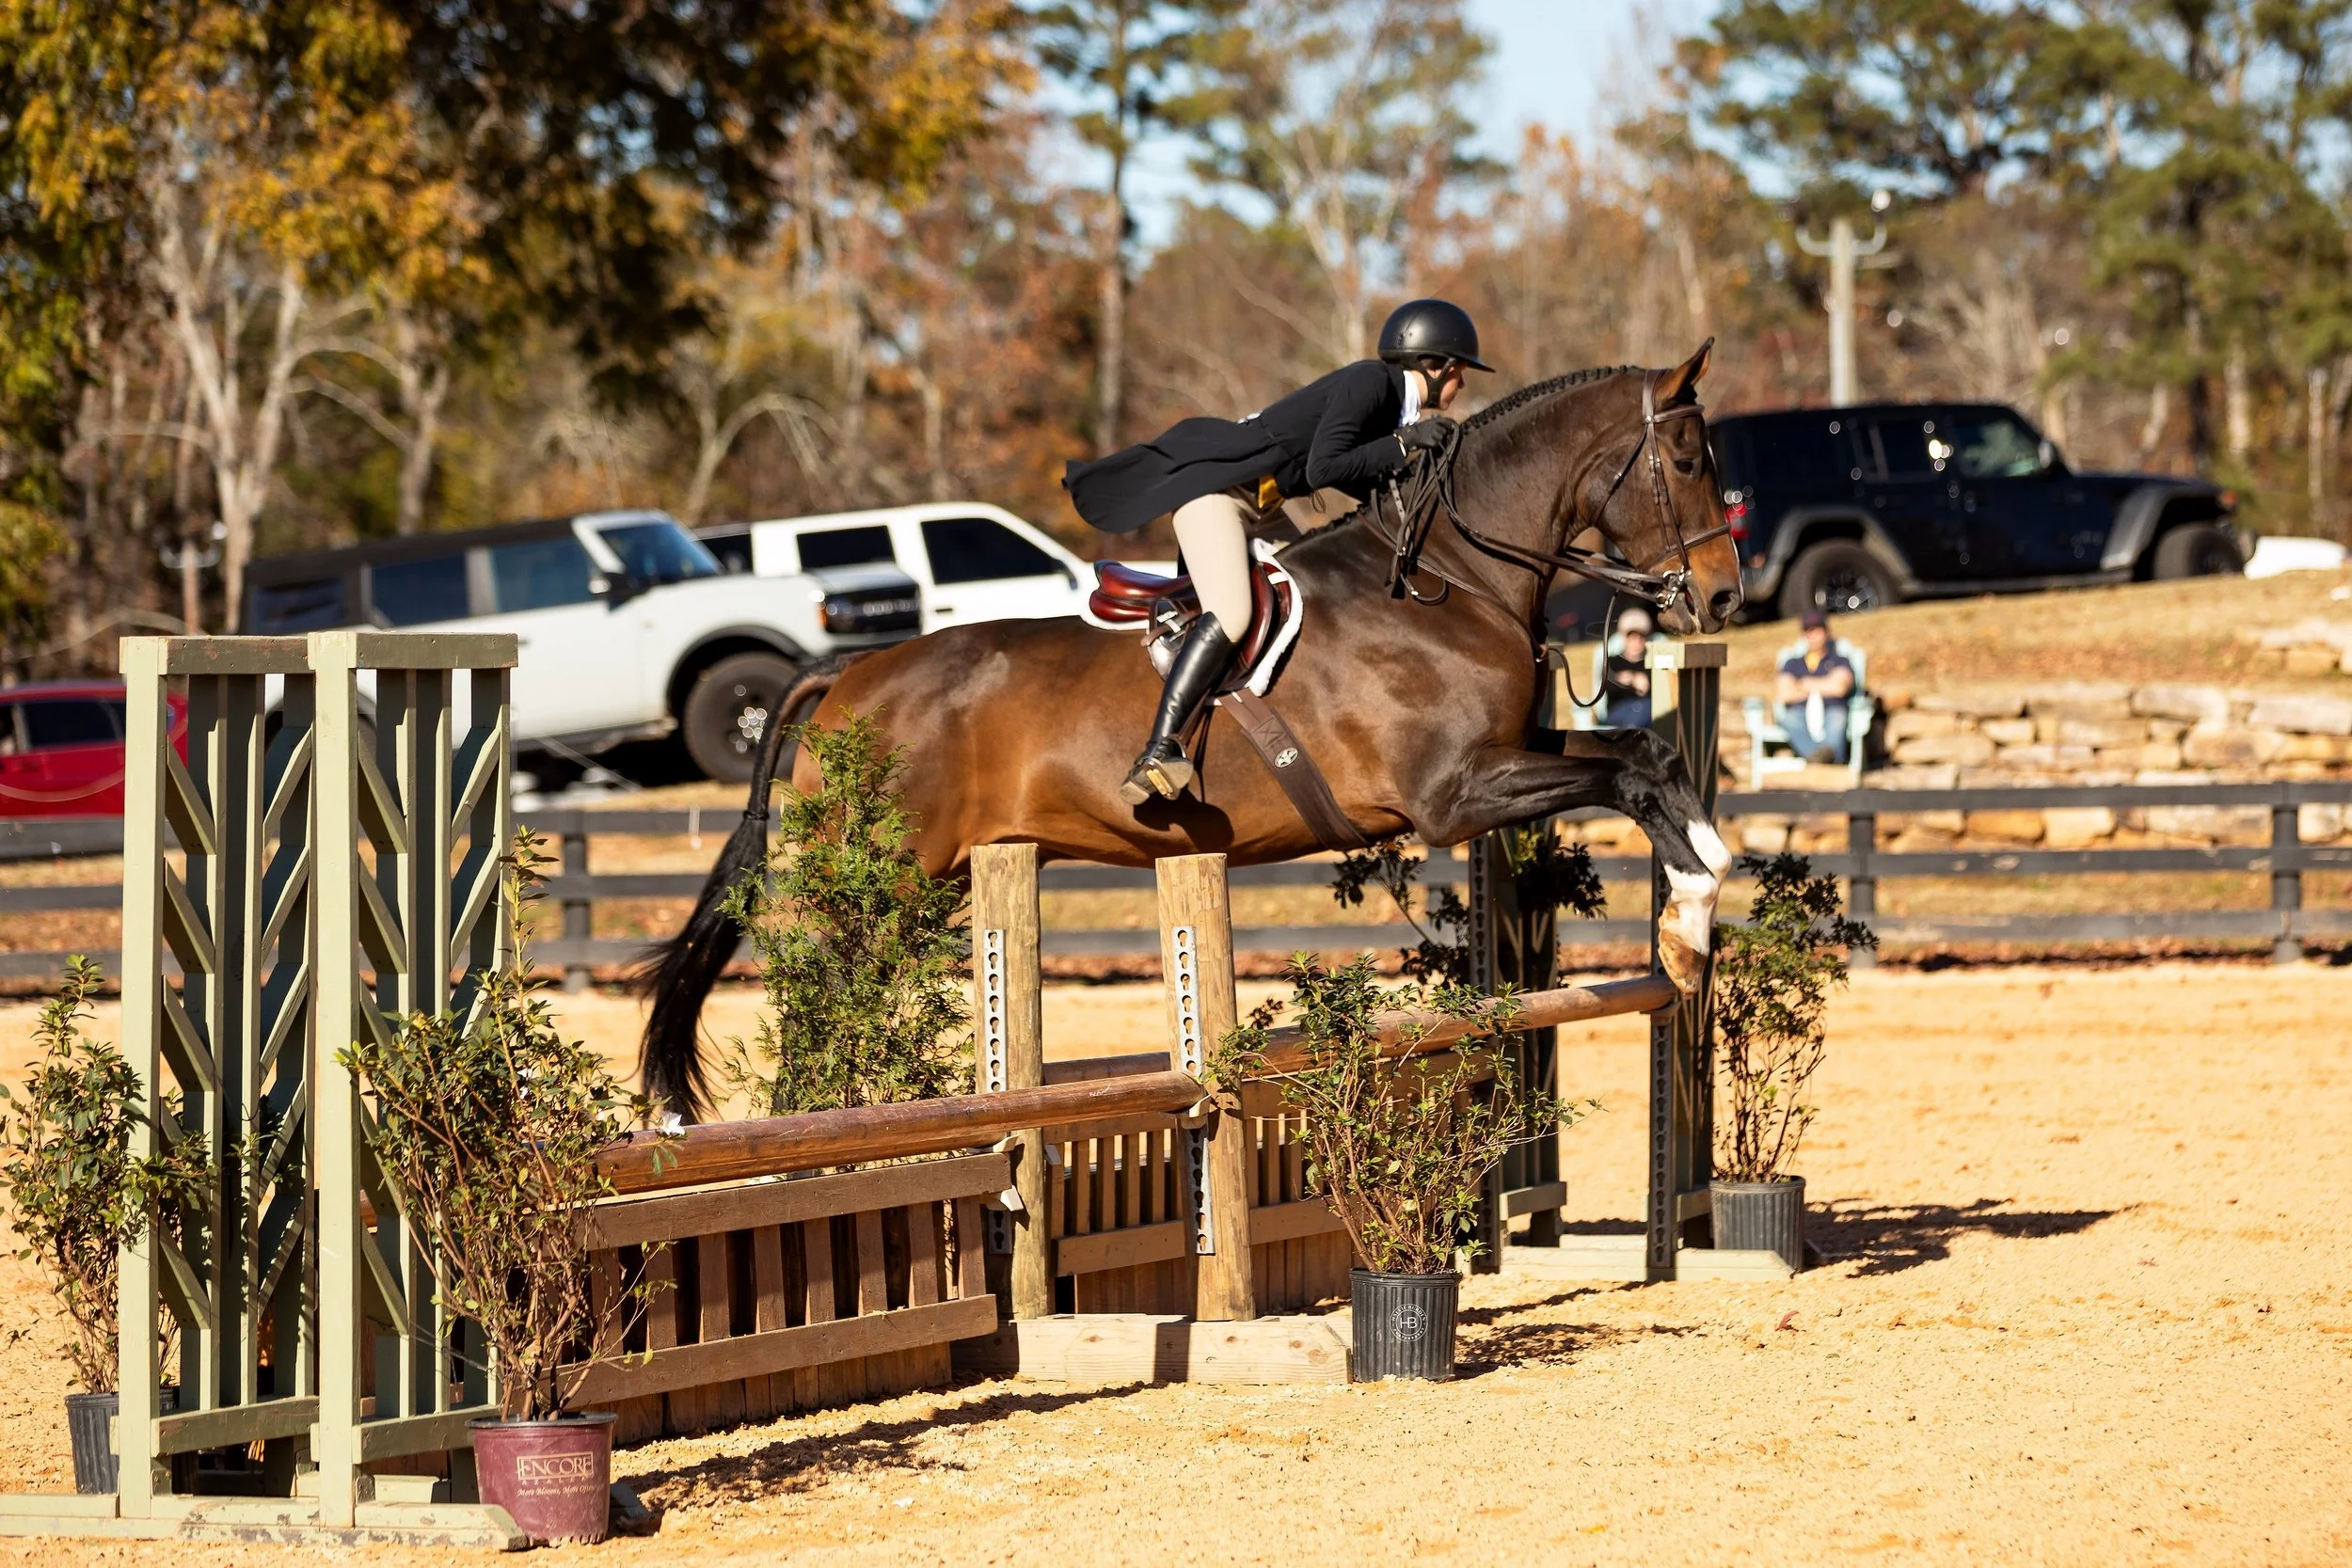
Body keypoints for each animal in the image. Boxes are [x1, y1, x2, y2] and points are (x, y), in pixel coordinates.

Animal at [639, 342, 1744, 1116]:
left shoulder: (1502, 756)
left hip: (931, 880)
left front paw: (1698, 906)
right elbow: (1627, 779)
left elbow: (1644, 755)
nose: (1725, 598)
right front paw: (1690, 921)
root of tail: (849, 673)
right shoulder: (1451, 796)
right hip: (876, 889)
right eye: (1690, 457)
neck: (1450, 575)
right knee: (822, 1012)